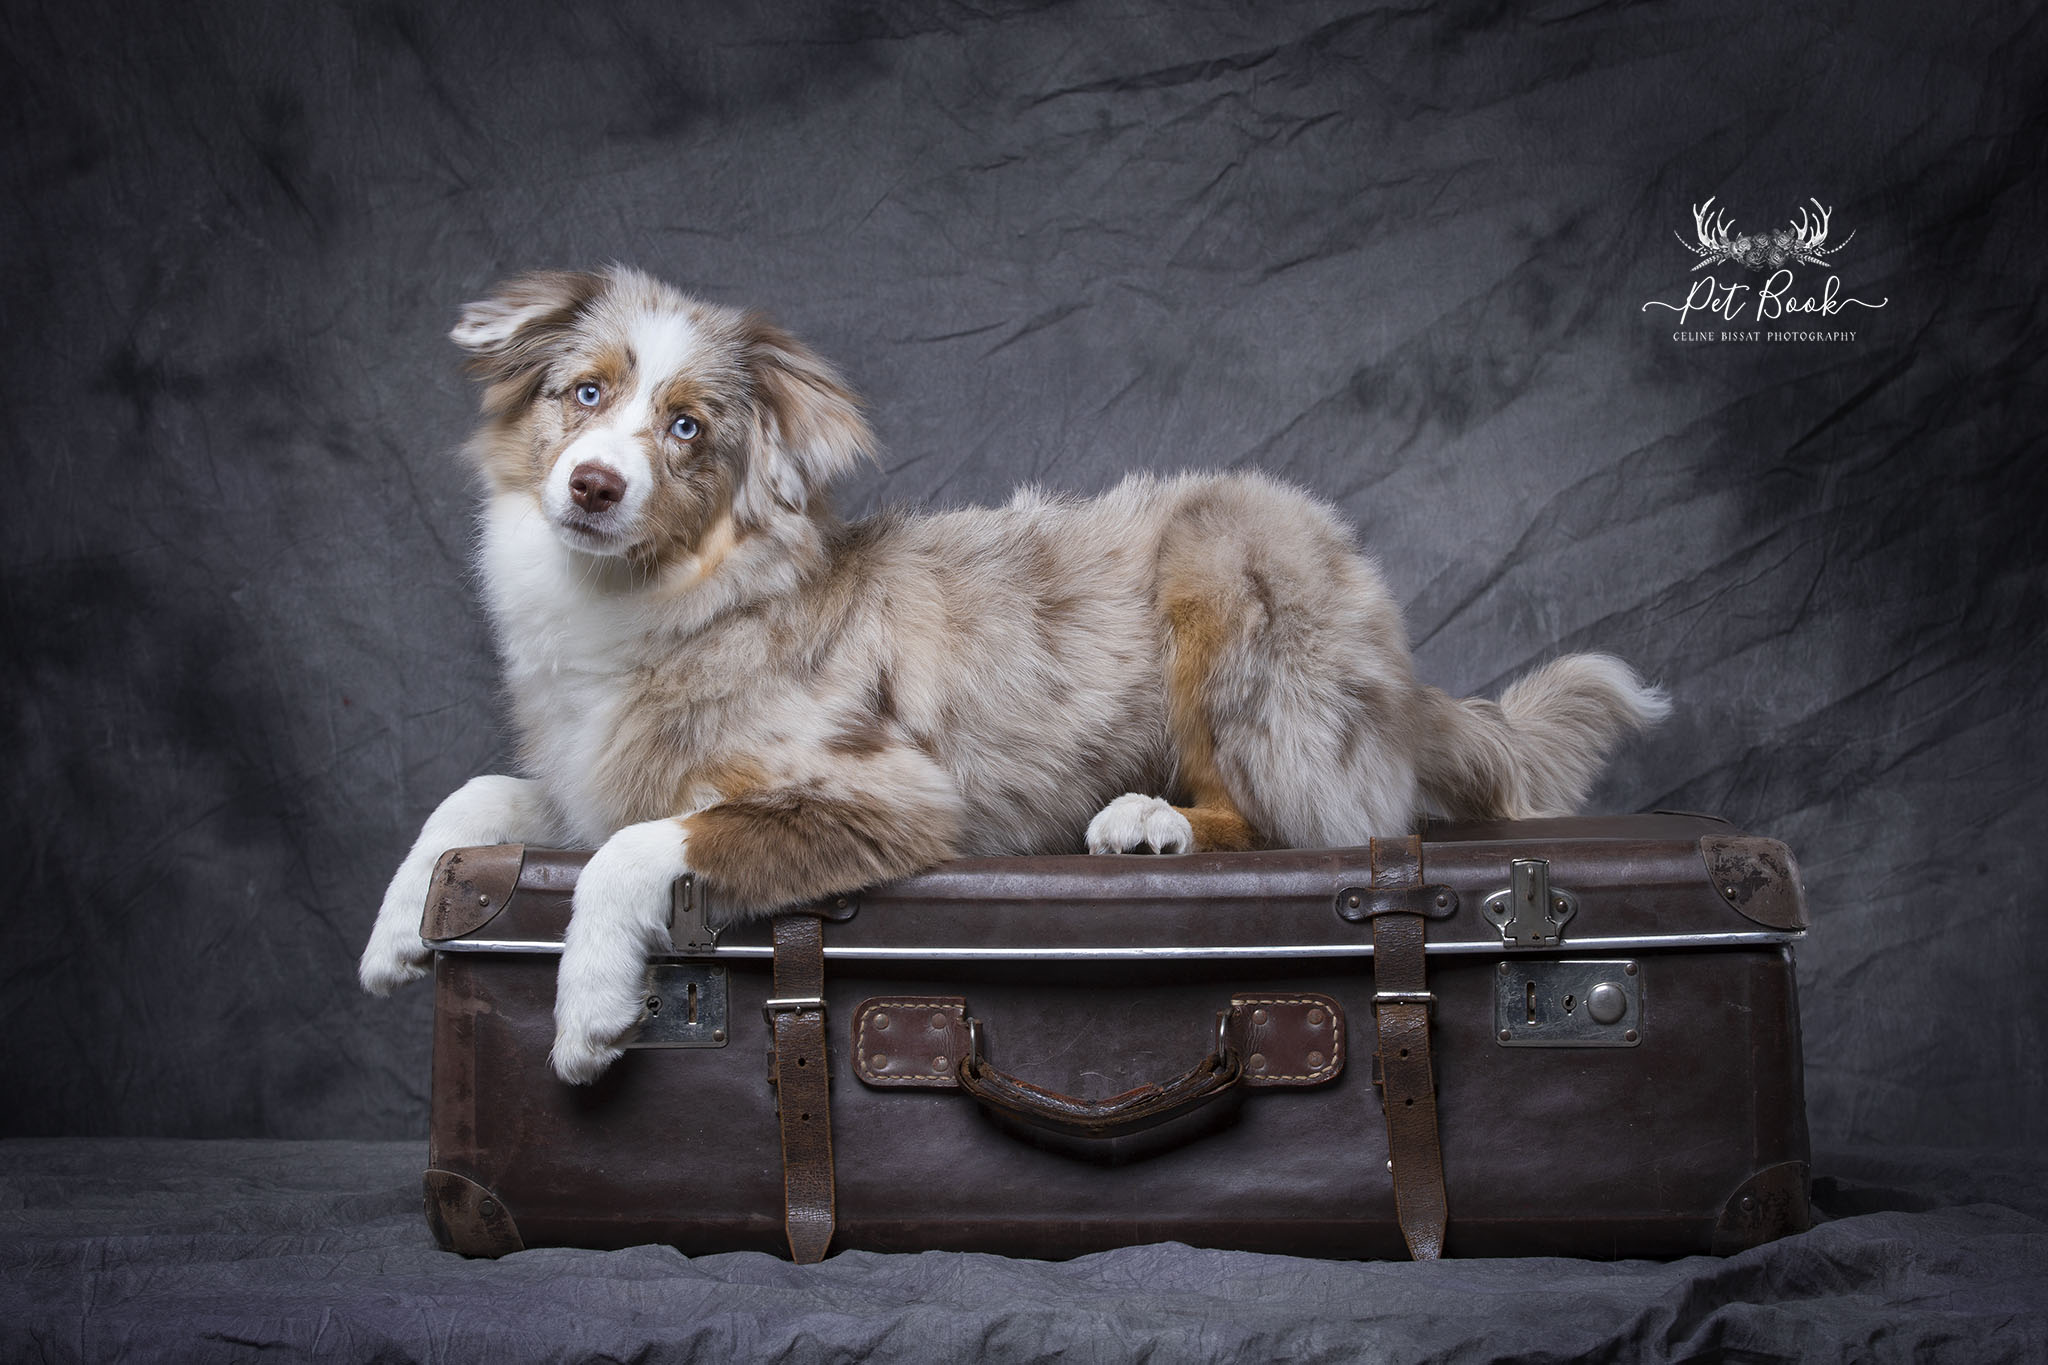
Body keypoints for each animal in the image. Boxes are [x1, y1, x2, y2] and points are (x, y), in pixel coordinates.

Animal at [356, 261, 1662, 1080]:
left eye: (686, 429)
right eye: (584, 394)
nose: (592, 487)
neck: (662, 598)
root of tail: (1397, 659)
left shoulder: (882, 794)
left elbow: (638, 847)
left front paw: (586, 1009)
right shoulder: (590, 769)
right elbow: (481, 793)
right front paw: (398, 930)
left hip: (1226, 561)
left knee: (1316, 815)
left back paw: (1150, 821)